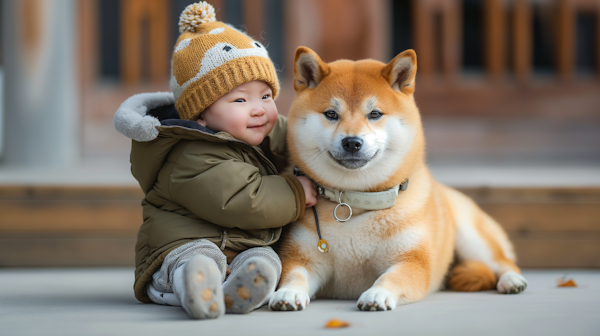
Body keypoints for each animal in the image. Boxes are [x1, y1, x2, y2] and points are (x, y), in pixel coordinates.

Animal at [270, 47, 528, 312]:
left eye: (375, 114)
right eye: (331, 114)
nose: (352, 142)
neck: (355, 202)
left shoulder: (412, 261)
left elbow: (391, 277)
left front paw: (377, 294)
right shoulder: (303, 258)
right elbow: (294, 276)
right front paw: (288, 293)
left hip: (471, 237)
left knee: (503, 261)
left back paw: (512, 281)